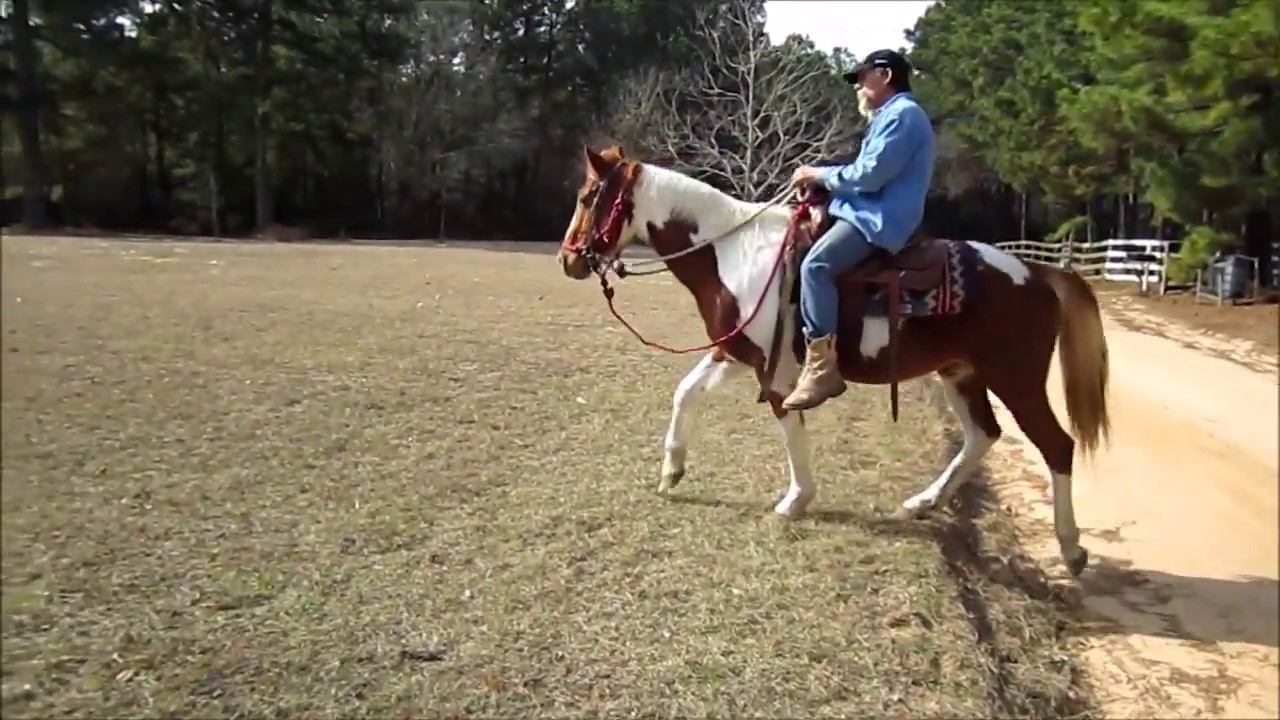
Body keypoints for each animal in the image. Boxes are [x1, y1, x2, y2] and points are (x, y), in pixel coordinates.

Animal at [556, 144, 1111, 577]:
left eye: (586, 198)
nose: (568, 259)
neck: (735, 254)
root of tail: (1039, 274)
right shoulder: (735, 353)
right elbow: (686, 392)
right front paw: (672, 472)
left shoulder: (775, 369)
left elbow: (789, 422)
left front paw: (794, 500)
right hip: (960, 375)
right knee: (982, 435)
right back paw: (922, 504)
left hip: (1017, 380)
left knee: (1056, 447)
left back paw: (1071, 549)